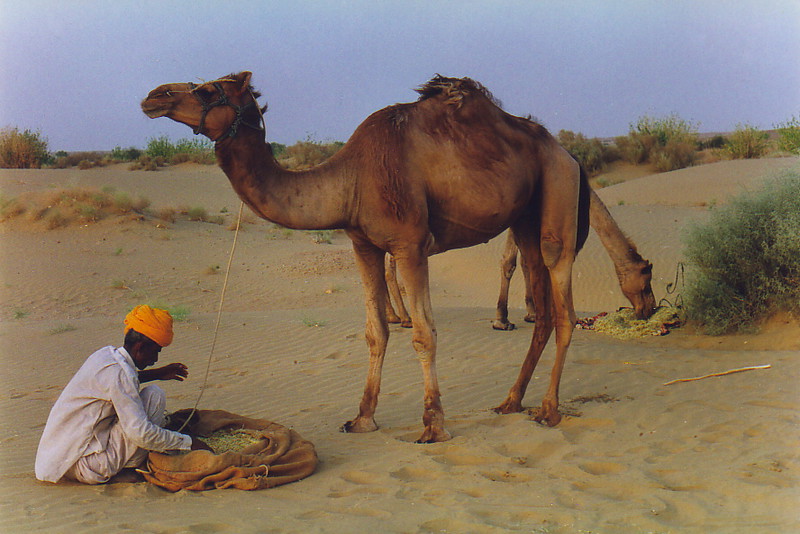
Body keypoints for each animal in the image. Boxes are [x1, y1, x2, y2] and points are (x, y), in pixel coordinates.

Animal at [144, 73, 592, 446]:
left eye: (207, 90)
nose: (153, 96)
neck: (351, 179)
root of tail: (569, 154)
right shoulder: (363, 244)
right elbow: (376, 331)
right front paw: (362, 419)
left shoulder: (410, 244)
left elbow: (424, 333)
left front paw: (433, 425)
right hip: (524, 218)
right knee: (543, 306)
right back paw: (511, 401)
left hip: (557, 193)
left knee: (564, 302)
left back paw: (548, 410)